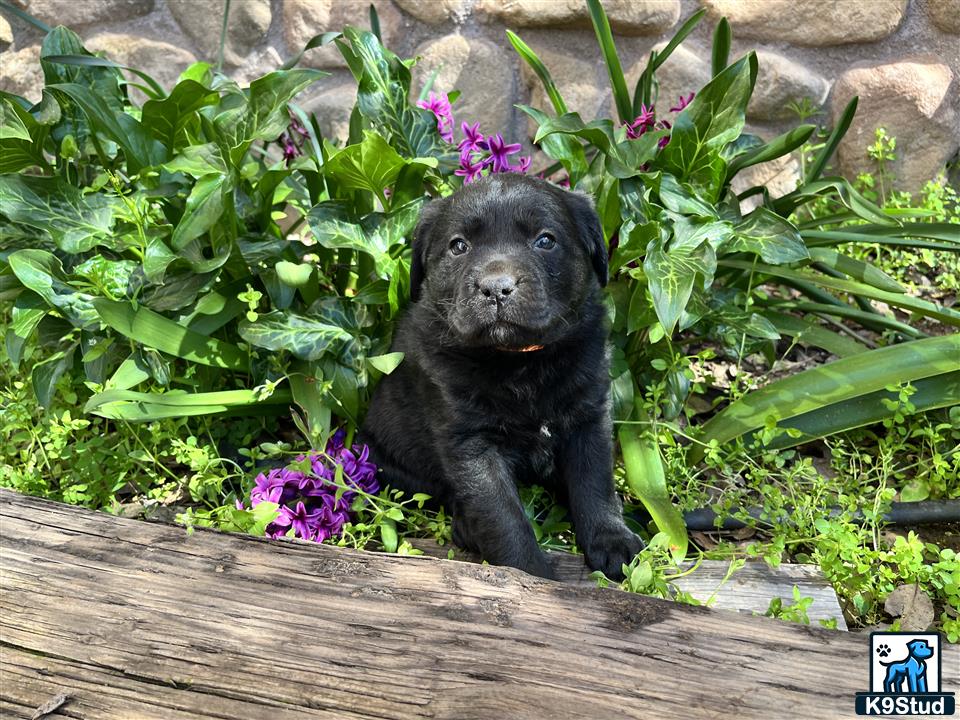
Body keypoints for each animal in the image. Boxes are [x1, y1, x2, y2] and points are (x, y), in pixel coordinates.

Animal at [360, 173, 644, 580]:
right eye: (458, 246)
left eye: (545, 240)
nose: (496, 288)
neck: (519, 363)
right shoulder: (471, 443)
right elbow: (503, 517)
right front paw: (532, 577)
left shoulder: (588, 415)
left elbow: (594, 480)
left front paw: (612, 540)